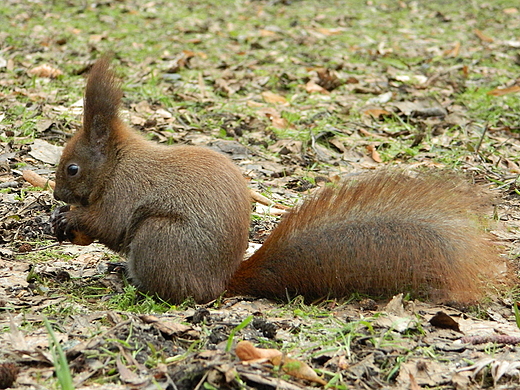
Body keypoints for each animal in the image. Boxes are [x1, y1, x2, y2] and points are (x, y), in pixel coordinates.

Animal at [51, 58, 500, 304]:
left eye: (72, 168)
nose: (56, 194)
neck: (117, 163)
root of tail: (222, 282)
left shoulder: (124, 191)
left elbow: (110, 224)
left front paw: (70, 219)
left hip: (160, 240)